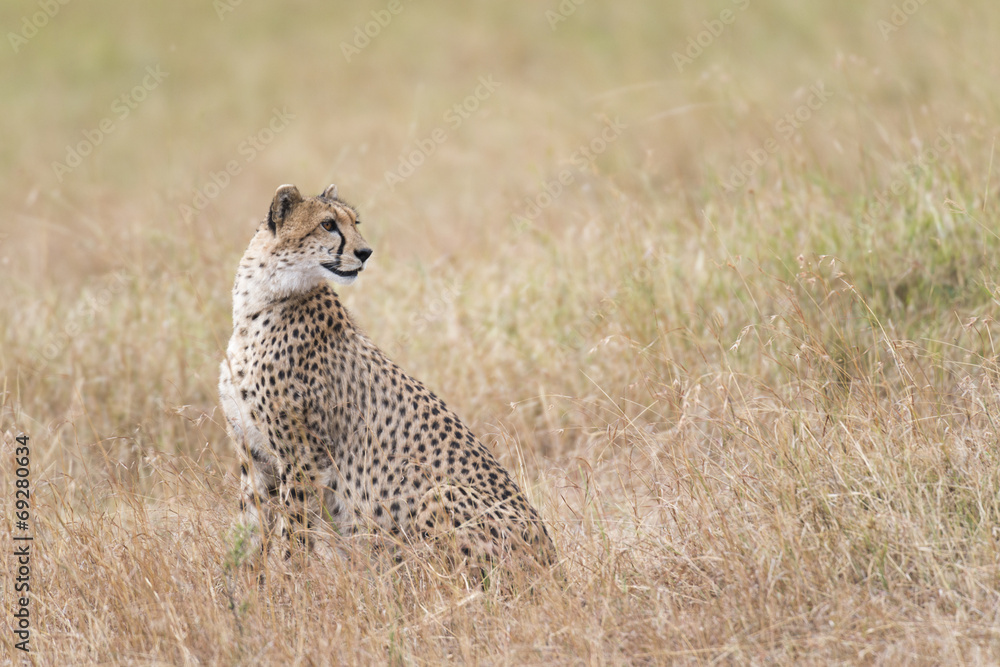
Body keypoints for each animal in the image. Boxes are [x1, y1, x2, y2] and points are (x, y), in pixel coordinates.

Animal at [218, 183, 555, 583]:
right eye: (328, 224)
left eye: (355, 223)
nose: (365, 252)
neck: (259, 301)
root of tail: (554, 561)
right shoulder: (255, 455)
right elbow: (250, 530)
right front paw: (243, 589)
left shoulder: (302, 455)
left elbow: (294, 535)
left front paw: (290, 586)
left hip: (440, 495)